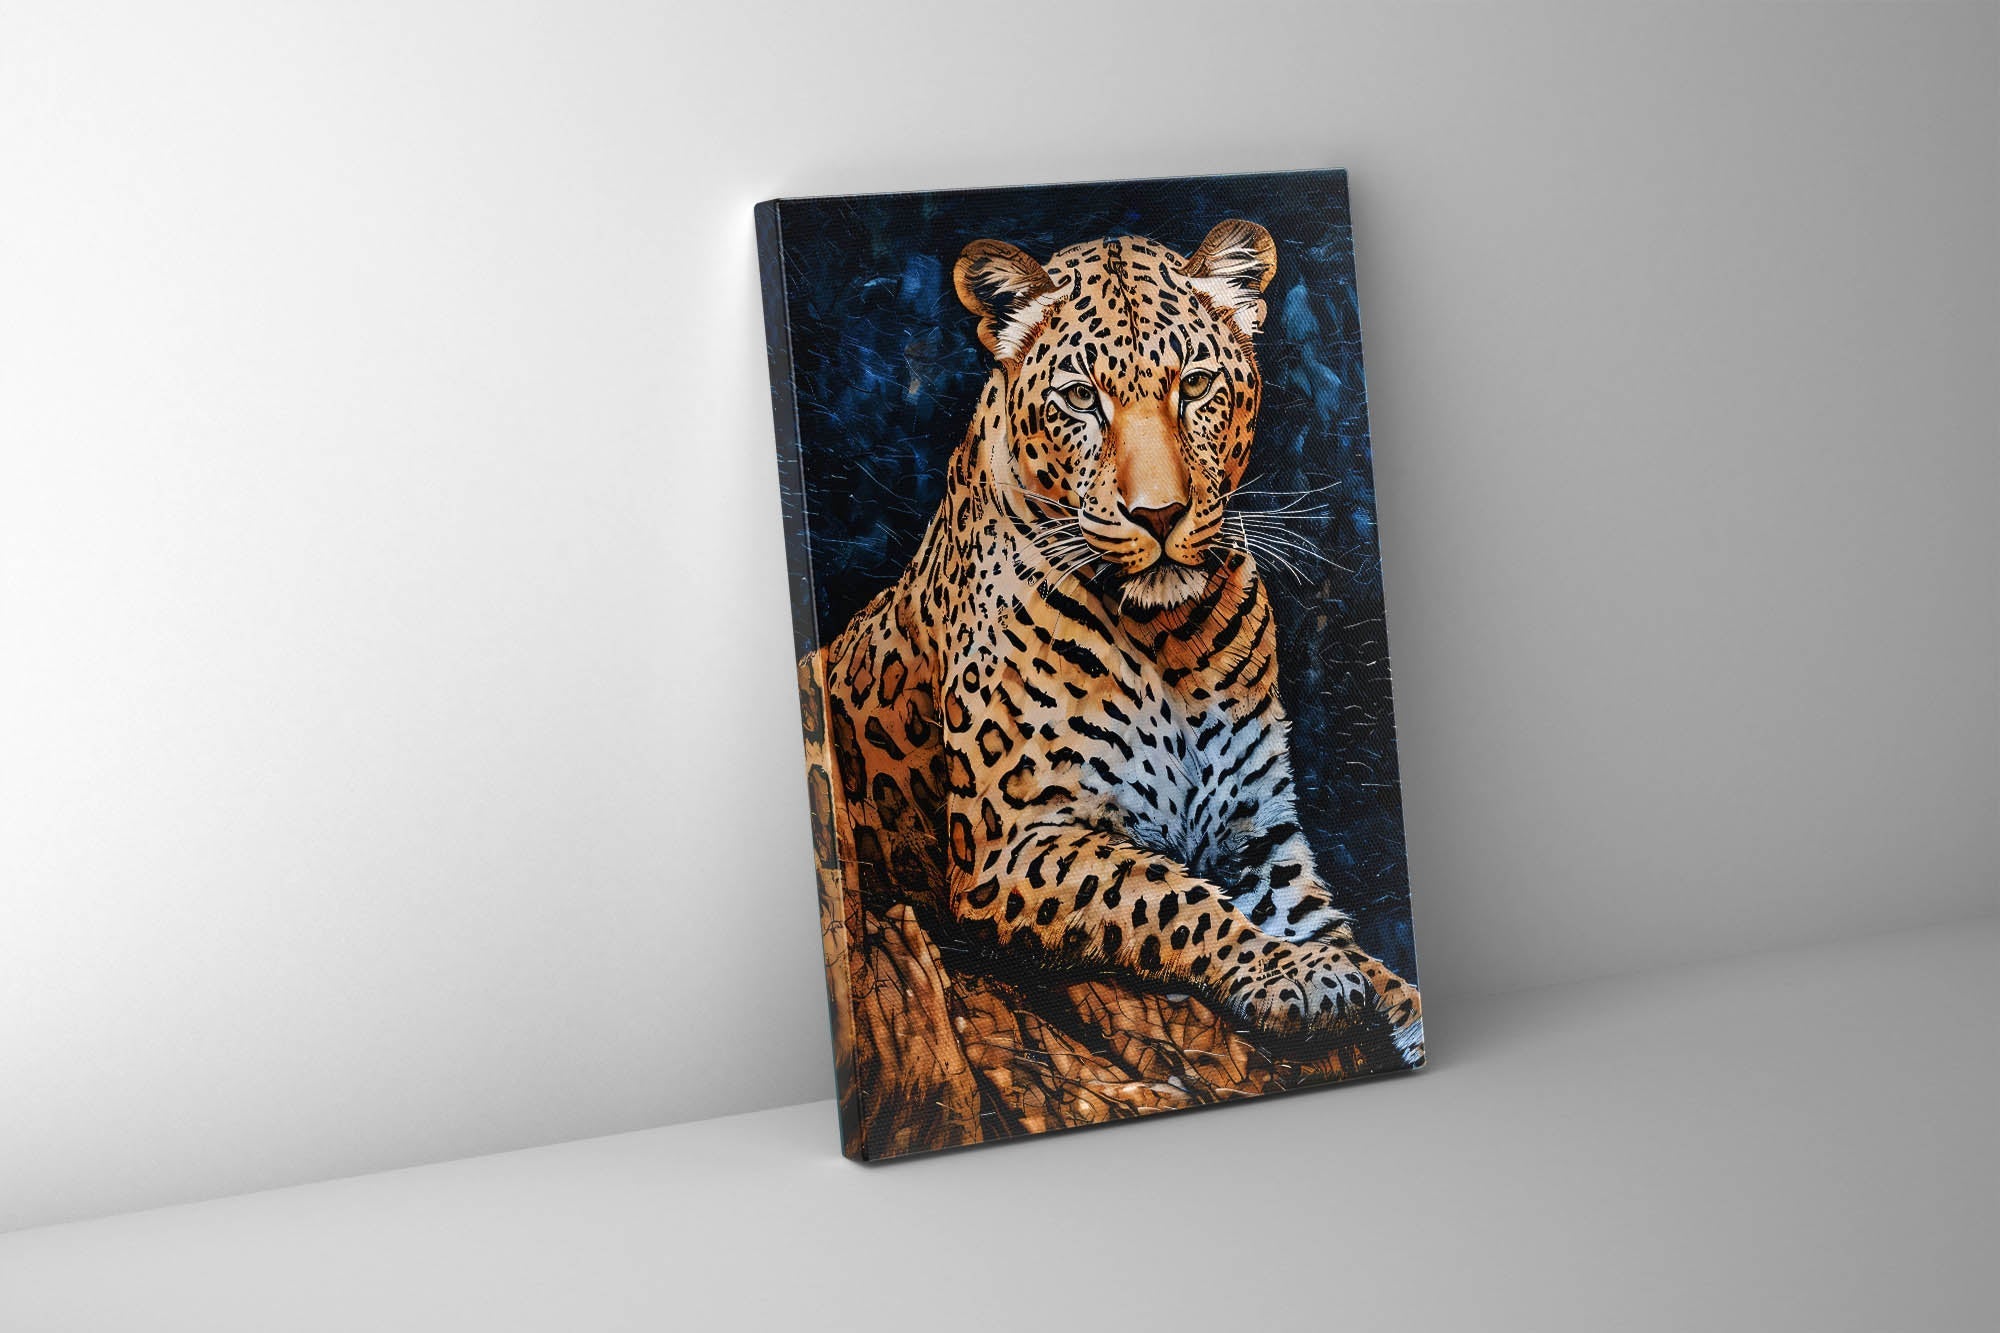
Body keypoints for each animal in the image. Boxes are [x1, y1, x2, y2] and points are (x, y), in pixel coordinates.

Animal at [798, 219, 1423, 1083]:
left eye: (1195, 386)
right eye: (1079, 398)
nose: (1158, 514)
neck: (1171, 640)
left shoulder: (1258, 832)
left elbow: (1347, 942)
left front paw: (1392, 999)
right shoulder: (1011, 842)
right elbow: (1170, 895)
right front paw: (1293, 974)